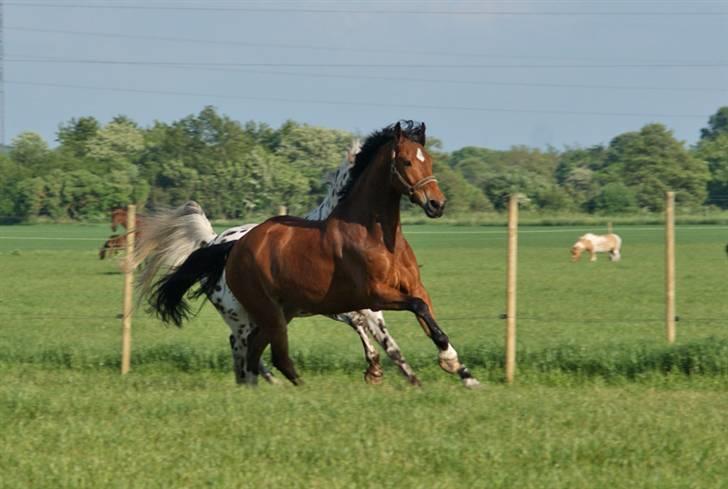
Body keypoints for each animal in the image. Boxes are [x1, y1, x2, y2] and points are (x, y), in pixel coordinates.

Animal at [145, 120, 480, 386]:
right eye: (408, 162)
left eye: (430, 161)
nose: (437, 204)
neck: (378, 237)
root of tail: (224, 244)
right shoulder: (371, 297)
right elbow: (409, 316)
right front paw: (389, 371)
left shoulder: (409, 290)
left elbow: (420, 323)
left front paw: (459, 371)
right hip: (251, 315)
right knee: (250, 350)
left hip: (277, 313)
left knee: (254, 351)